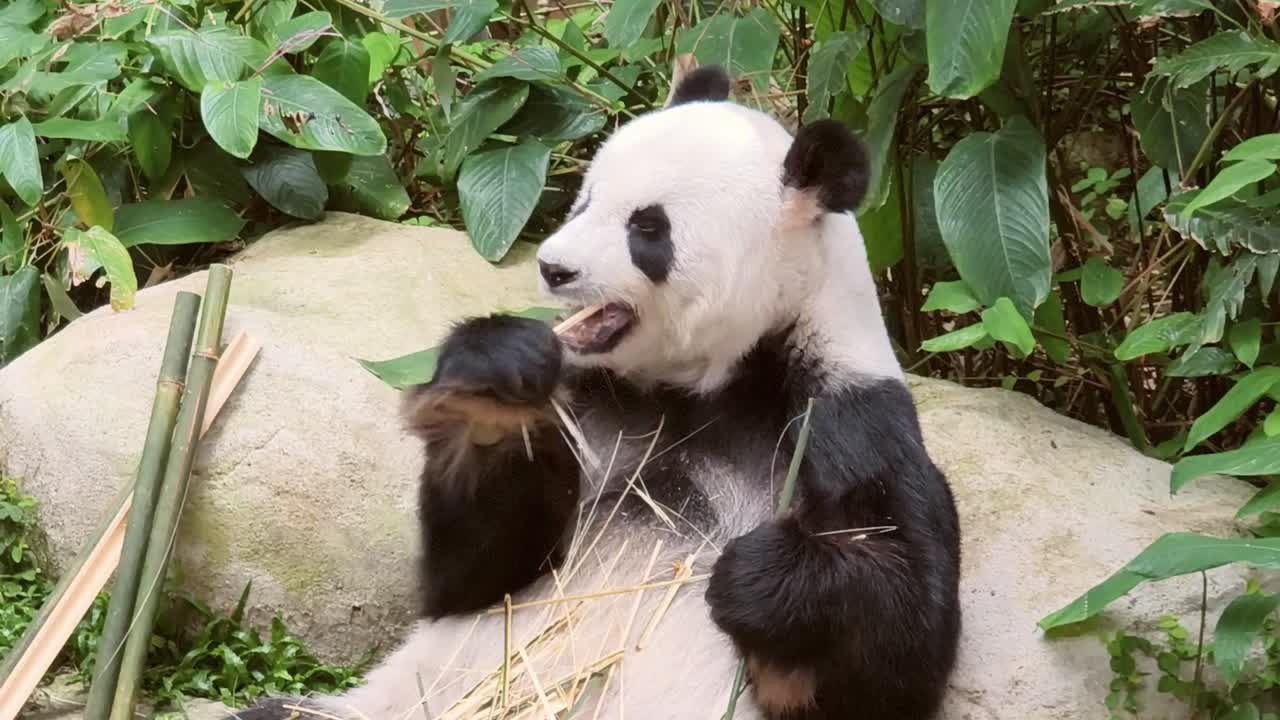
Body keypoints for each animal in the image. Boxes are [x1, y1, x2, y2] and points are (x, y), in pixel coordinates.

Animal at [240, 64, 961, 720]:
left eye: (648, 228)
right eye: (584, 199)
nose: (553, 267)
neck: (703, 381)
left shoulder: (844, 416)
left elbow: (903, 649)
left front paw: (763, 575)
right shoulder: (593, 399)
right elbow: (474, 577)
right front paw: (491, 389)